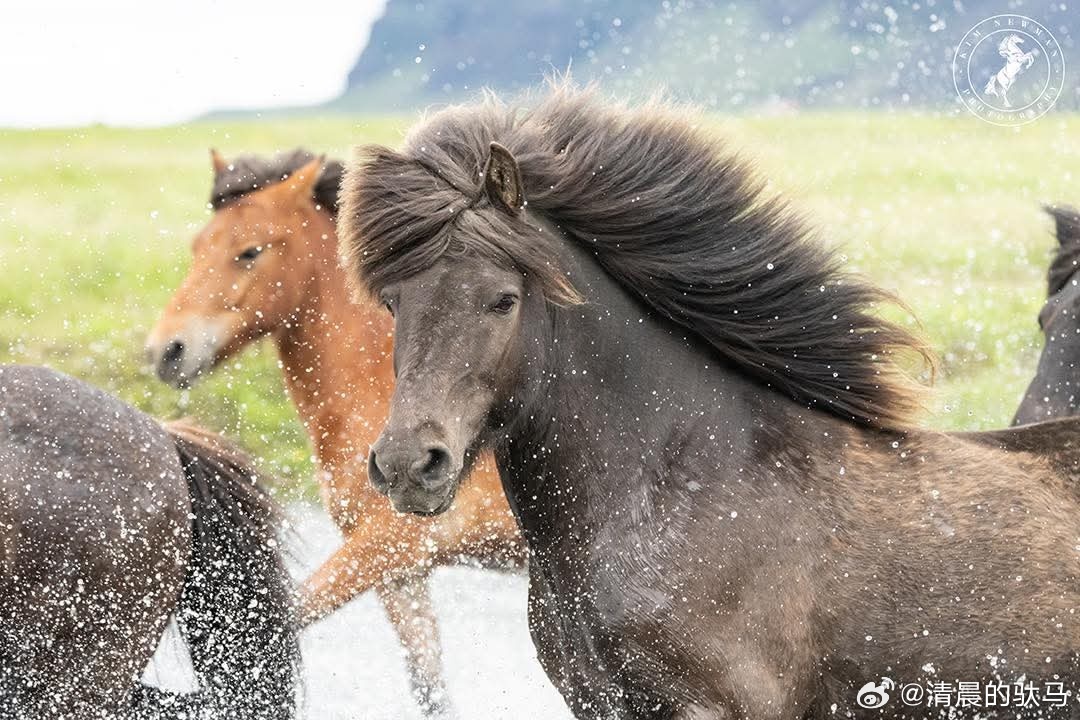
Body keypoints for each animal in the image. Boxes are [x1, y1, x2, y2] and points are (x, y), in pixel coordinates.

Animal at [145, 149, 524, 717]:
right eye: (198, 246)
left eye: (249, 251)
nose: (167, 350)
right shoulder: (400, 575)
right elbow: (429, 687)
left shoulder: (387, 544)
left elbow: (278, 623)